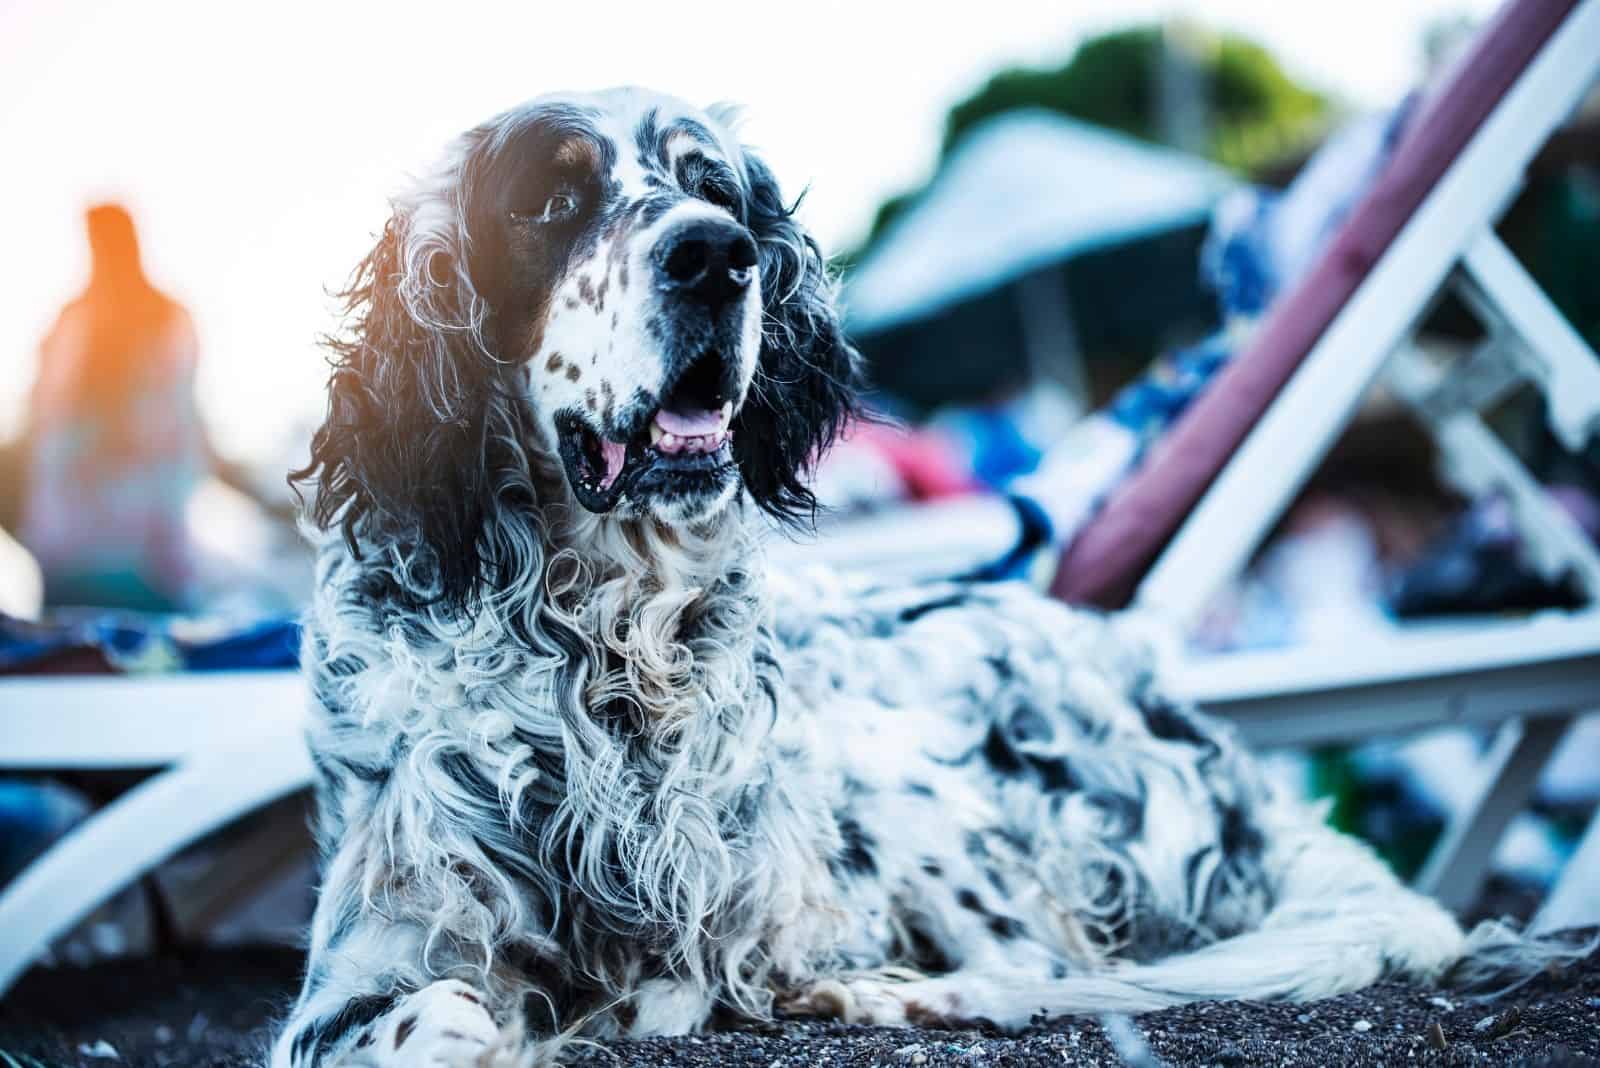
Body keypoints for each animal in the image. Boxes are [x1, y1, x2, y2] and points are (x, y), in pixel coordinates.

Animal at [281, 87, 1542, 1061]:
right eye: (549, 203)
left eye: (714, 189)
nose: (716, 255)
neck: (612, 644)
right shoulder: (367, 962)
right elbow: (440, 1014)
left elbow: (691, 977)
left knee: (1026, 960)